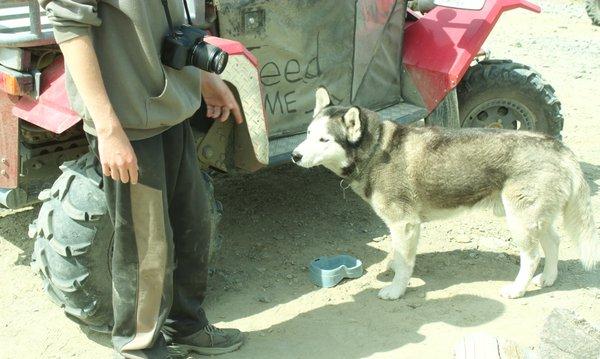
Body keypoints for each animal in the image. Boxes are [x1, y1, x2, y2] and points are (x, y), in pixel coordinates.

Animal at [290, 88, 596, 300]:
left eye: (324, 139)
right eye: (307, 133)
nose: (295, 155)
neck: (376, 149)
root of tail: (558, 146)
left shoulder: (404, 224)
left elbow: (405, 263)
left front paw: (396, 290)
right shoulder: (400, 226)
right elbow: (397, 253)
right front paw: (392, 268)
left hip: (520, 220)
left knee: (531, 257)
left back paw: (517, 290)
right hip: (536, 218)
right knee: (554, 241)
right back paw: (549, 278)